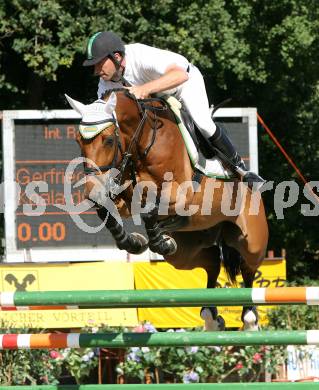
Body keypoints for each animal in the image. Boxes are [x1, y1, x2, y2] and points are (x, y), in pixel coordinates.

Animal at [65, 90, 270, 330]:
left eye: (108, 140)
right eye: (78, 141)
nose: (92, 191)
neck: (144, 142)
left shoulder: (182, 196)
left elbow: (149, 211)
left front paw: (156, 239)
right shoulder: (124, 199)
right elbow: (108, 212)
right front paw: (136, 242)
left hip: (250, 240)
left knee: (248, 269)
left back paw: (250, 320)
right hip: (185, 252)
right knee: (211, 262)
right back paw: (211, 316)